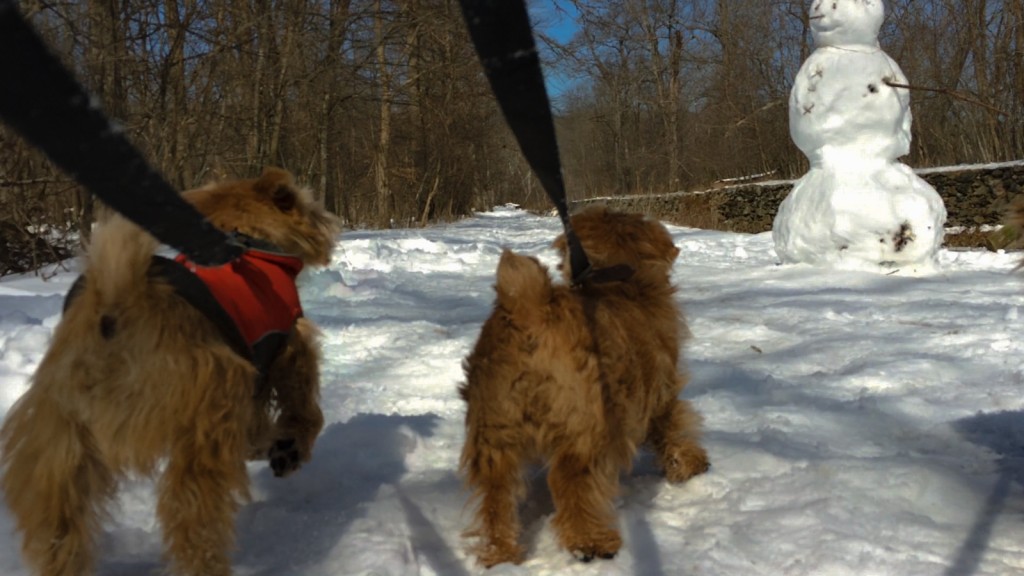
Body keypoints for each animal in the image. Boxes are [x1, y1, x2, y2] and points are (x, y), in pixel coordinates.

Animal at [2, 167, 342, 573]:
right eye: (310, 203)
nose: (332, 219)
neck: (247, 238)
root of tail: (115, 307)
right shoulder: (288, 347)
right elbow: (306, 410)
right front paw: (290, 446)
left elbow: (258, 429)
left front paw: (270, 445)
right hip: (205, 418)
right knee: (192, 518)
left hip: (59, 447)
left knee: (58, 526)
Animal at [460, 203, 708, 561]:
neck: (615, 281)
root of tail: (529, 313)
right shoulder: (661, 390)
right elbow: (674, 425)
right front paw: (689, 464)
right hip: (583, 426)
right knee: (570, 481)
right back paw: (591, 543)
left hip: (494, 432)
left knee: (497, 495)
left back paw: (502, 554)